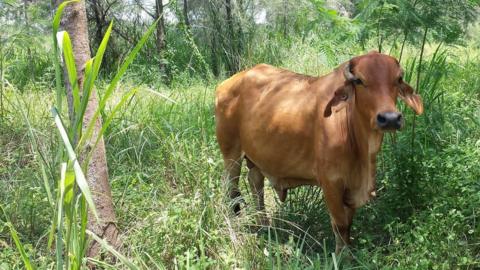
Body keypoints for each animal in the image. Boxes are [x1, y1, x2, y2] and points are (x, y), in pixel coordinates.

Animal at [216, 51, 422, 252]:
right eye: (359, 81)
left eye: (398, 79)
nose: (390, 118)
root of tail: (230, 81)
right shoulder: (330, 182)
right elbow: (340, 225)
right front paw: (341, 257)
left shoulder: (350, 186)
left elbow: (348, 225)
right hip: (231, 153)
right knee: (231, 189)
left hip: (257, 157)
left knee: (255, 182)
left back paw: (265, 226)